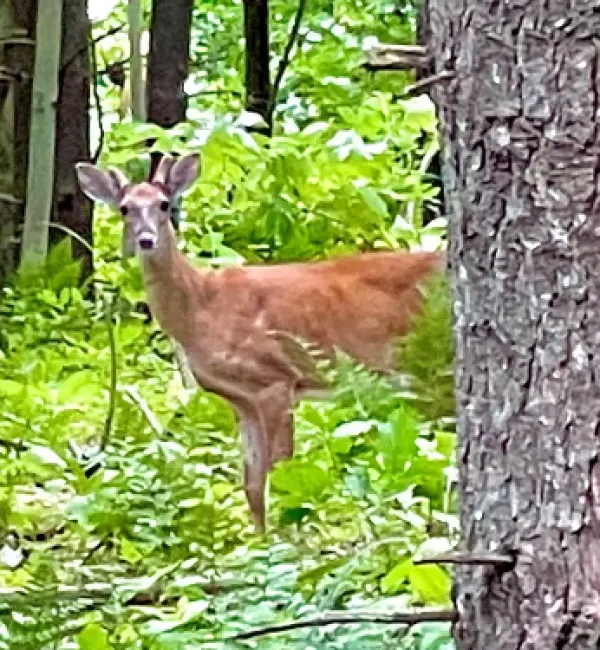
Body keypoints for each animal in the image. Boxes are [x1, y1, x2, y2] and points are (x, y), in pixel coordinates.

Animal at [75, 153, 447, 533]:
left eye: (164, 204)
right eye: (125, 208)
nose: (146, 240)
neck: (201, 308)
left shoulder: (276, 379)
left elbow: (281, 475)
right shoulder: (242, 399)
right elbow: (252, 485)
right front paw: (260, 540)